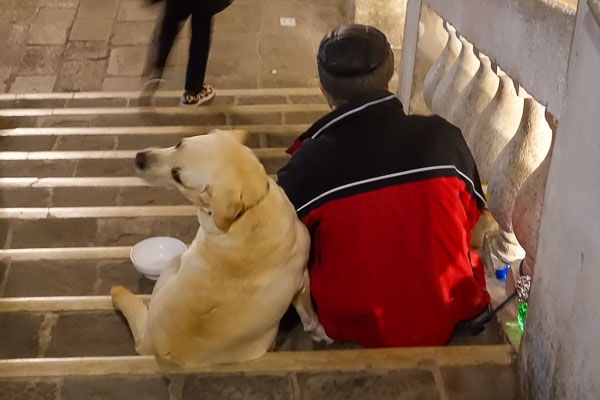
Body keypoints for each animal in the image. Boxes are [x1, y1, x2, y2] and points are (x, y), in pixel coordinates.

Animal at [110, 130, 330, 368]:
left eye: (177, 175)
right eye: (178, 143)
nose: (139, 157)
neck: (250, 209)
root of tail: (149, 342)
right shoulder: (302, 281)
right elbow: (310, 317)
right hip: (175, 260)